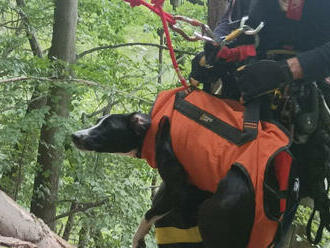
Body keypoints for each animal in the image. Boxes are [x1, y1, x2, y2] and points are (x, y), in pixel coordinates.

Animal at [73, 113, 255, 248]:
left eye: (108, 126)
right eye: (97, 122)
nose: (74, 135)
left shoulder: (176, 189)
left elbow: (148, 214)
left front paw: (138, 238)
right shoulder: (176, 194)